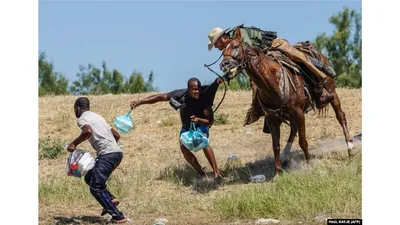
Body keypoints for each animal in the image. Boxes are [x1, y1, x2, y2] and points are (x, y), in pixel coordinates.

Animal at [220, 26, 354, 174]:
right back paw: (285, 156)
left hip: (332, 93)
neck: (273, 82)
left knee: (340, 116)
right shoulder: (272, 119)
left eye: (236, 46)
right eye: (223, 51)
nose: (224, 64)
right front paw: (278, 172)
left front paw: (309, 164)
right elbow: (276, 145)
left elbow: (303, 141)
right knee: (293, 129)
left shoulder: (299, 114)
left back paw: (350, 148)